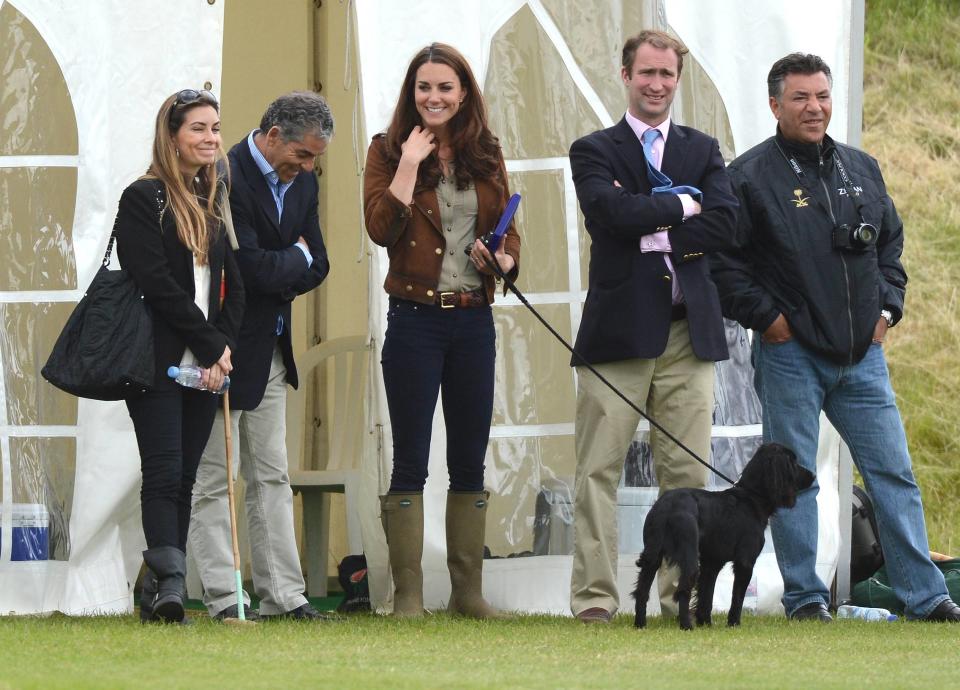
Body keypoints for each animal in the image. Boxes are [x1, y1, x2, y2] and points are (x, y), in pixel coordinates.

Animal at [632, 440, 812, 628]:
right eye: (793, 462)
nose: (813, 475)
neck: (751, 498)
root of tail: (667, 506)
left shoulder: (711, 563)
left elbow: (706, 596)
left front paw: (706, 623)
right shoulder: (745, 562)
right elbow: (737, 598)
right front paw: (733, 623)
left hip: (652, 555)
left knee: (641, 591)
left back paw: (640, 625)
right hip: (688, 555)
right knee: (682, 590)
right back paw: (686, 626)